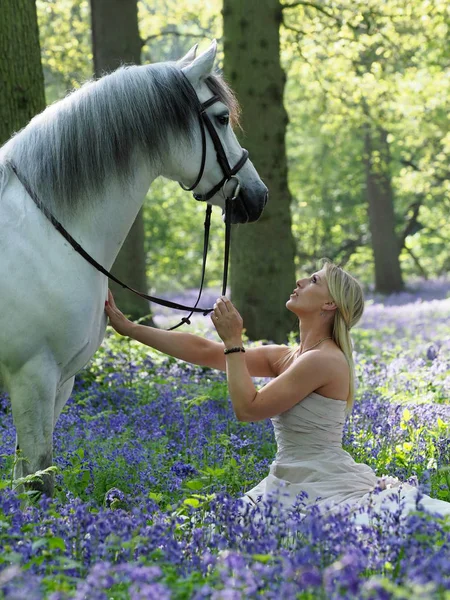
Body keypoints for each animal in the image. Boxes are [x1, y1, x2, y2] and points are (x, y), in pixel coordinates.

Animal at [0, 39, 268, 494]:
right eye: (221, 118)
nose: (257, 196)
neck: (45, 232)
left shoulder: (59, 382)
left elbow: (28, 477)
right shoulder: (31, 376)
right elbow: (38, 480)